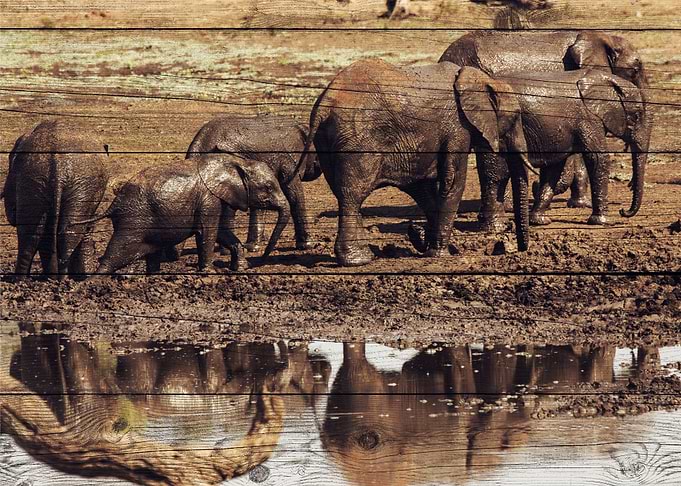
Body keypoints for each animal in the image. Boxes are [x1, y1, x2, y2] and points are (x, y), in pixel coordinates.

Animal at [75, 153, 290, 274]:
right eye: (268, 187)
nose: (261, 260)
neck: (238, 163)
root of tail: (114, 204)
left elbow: (222, 232)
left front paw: (241, 269)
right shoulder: (209, 199)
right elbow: (208, 231)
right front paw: (209, 272)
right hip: (133, 220)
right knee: (116, 253)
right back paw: (93, 282)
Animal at [296, 59, 531, 265]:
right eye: (516, 117)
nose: (520, 249)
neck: (481, 79)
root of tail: (324, 104)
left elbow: (422, 188)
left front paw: (421, 239)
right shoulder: (457, 128)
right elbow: (453, 182)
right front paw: (440, 254)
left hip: (328, 141)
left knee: (343, 192)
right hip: (357, 137)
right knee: (352, 194)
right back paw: (357, 260)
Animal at [475, 69, 649, 237]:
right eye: (636, 116)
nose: (623, 211)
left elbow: (554, 168)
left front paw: (540, 221)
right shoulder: (588, 118)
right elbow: (598, 159)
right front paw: (605, 222)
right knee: (497, 174)